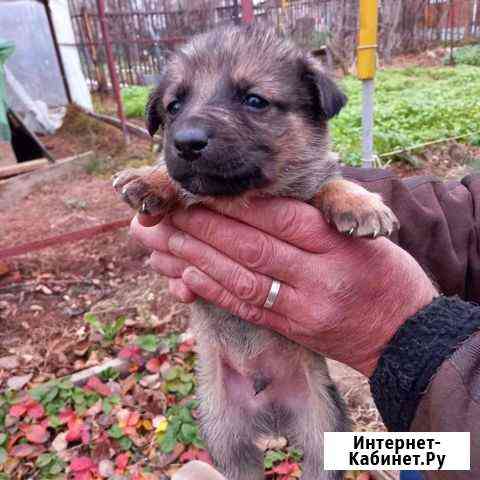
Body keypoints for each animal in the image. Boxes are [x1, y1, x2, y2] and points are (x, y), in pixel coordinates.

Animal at [113, 26, 398, 480]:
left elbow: (330, 181)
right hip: (223, 431)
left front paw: (359, 203)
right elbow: (177, 179)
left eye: (254, 100)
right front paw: (150, 178)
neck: (243, 196)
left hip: (324, 425)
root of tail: (271, 414)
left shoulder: (310, 184)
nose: (186, 143)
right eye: (174, 106)